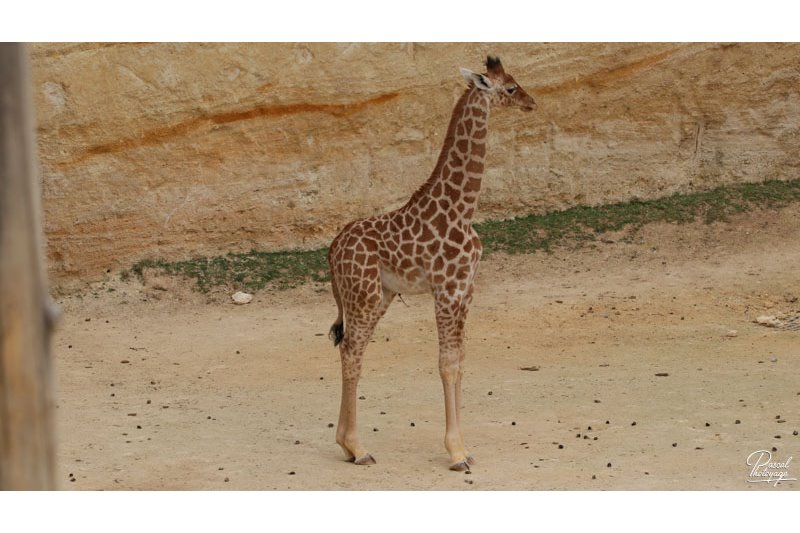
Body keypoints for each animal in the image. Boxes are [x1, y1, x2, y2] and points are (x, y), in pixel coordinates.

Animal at [324, 54, 536, 470]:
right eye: (510, 88)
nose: (531, 102)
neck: (463, 208)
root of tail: (332, 250)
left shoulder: (466, 289)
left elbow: (459, 359)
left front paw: (465, 447)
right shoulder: (447, 288)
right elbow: (446, 363)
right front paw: (456, 452)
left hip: (380, 296)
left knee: (353, 349)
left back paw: (347, 446)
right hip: (363, 295)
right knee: (352, 351)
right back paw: (358, 447)